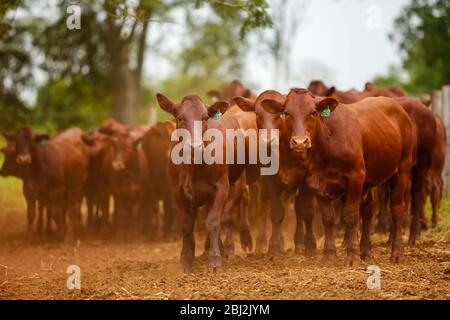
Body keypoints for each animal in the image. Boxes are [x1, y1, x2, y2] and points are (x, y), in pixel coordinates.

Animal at [258, 89, 414, 264]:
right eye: (286, 113)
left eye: (313, 112)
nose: (300, 142)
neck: (327, 141)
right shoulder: (317, 182)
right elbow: (328, 218)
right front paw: (329, 254)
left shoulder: (356, 177)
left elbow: (350, 216)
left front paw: (352, 256)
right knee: (368, 210)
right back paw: (365, 250)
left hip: (402, 171)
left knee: (397, 209)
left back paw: (397, 252)